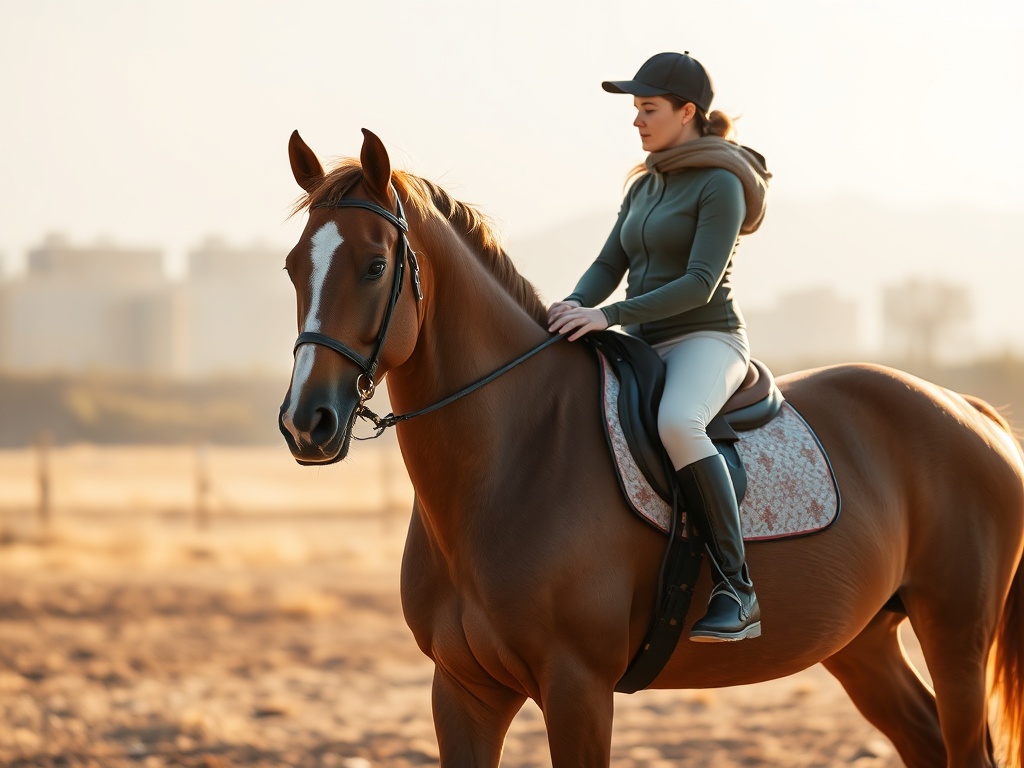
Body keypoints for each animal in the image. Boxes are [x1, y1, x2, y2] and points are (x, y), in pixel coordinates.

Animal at [278, 128, 1024, 768]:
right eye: (291, 268)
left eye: (376, 265)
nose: (307, 423)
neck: (510, 462)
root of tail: (969, 411)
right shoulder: (462, 691)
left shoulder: (577, 687)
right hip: (863, 641)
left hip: (955, 632)